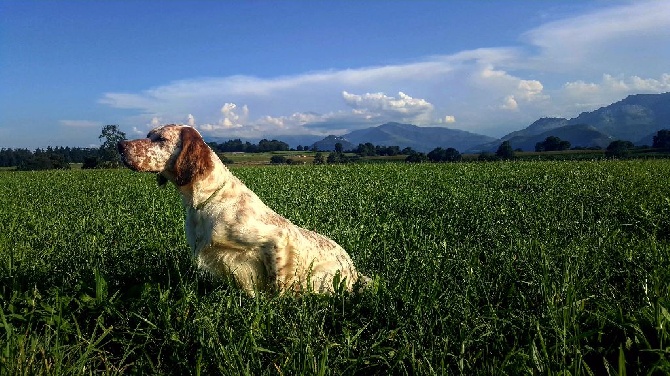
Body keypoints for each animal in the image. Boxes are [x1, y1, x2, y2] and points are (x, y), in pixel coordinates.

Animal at [119, 125, 372, 296]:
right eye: (149, 135)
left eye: (161, 139)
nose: (120, 146)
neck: (206, 200)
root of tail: (354, 270)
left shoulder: (276, 240)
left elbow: (277, 286)